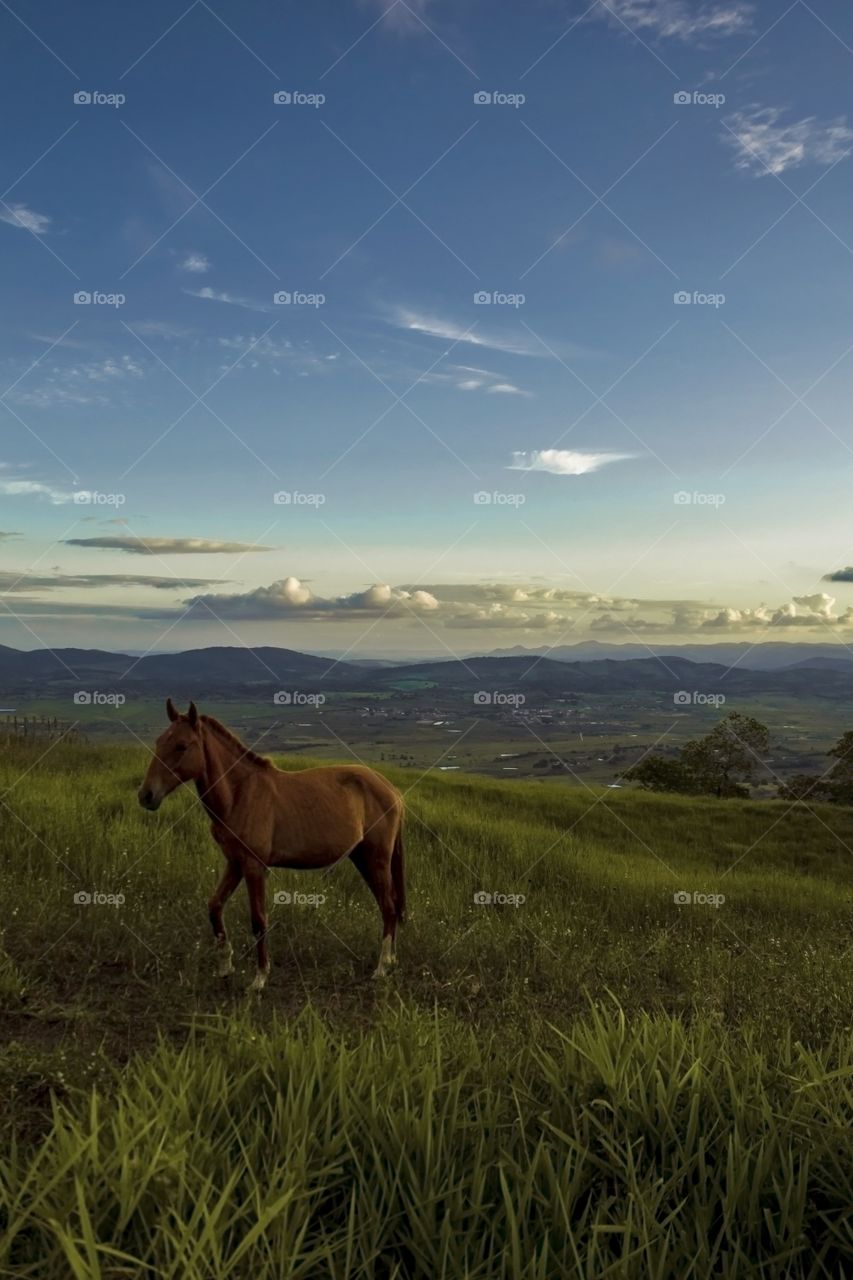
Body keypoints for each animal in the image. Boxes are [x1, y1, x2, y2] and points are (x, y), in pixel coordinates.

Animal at [137, 699, 406, 990]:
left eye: (182, 746)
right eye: (159, 741)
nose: (146, 795)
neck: (239, 795)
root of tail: (392, 790)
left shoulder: (254, 867)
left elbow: (258, 920)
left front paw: (260, 978)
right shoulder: (235, 863)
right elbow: (214, 906)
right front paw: (225, 966)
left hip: (376, 859)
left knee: (388, 907)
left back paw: (381, 968)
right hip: (362, 858)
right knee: (388, 905)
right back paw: (391, 960)